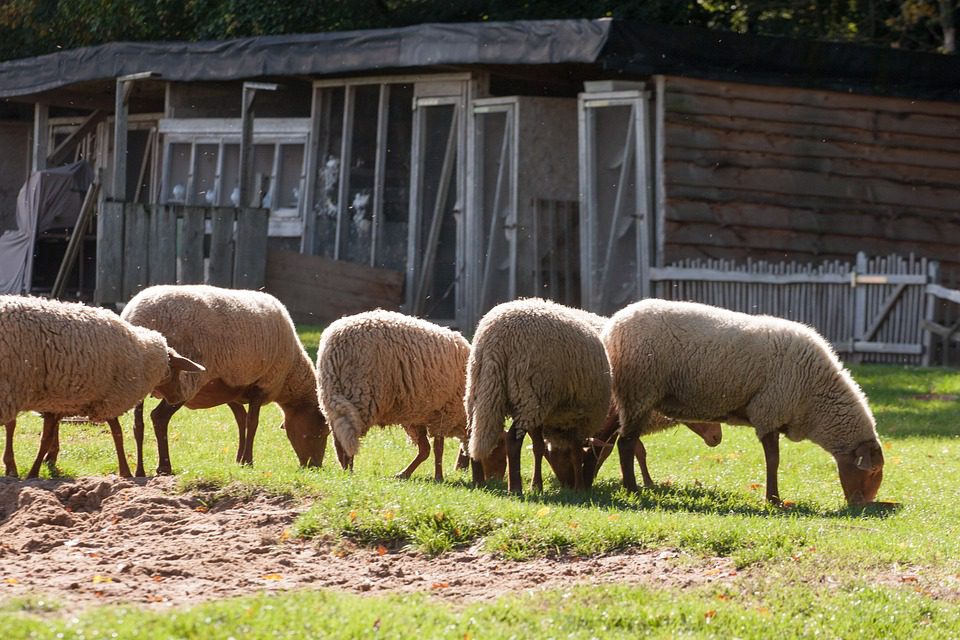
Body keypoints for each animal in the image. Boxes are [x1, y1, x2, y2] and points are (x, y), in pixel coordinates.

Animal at [0, 294, 202, 476]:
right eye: (175, 369)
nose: (178, 397)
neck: (141, 354)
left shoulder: (64, 399)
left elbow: (47, 439)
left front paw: (35, 470)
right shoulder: (110, 396)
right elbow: (117, 434)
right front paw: (126, 472)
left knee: (11, 424)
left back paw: (11, 467)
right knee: (11, 424)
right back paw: (11, 467)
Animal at [119, 284, 330, 476]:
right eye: (321, 432)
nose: (315, 467)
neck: (289, 376)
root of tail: (135, 314)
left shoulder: (232, 390)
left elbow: (241, 420)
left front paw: (240, 460)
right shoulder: (261, 384)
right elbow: (252, 422)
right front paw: (248, 461)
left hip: (141, 379)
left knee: (138, 425)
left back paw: (139, 471)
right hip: (185, 381)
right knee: (159, 417)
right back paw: (164, 467)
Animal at [318, 308, 506, 480]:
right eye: (500, 450)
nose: (495, 480)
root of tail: (334, 347)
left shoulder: (417, 417)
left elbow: (425, 450)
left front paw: (404, 474)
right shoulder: (444, 412)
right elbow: (438, 448)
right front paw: (438, 477)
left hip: (335, 397)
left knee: (339, 434)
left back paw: (345, 467)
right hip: (360, 395)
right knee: (348, 436)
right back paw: (349, 469)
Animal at [600, 298, 884, 504]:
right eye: (871, 471)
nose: (863, 505)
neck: (815, 401)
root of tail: (613, 326)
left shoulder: (773, 414)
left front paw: (773, 497)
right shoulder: (769, 411)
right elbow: (773, 460)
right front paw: (773, 499)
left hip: (628, 397)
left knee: (613, 441)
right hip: (639, 392)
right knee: (626, 443)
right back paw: (632, 489)